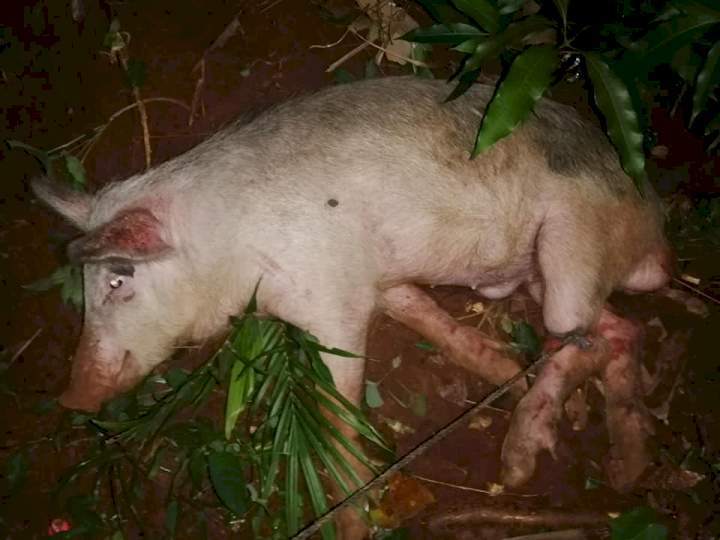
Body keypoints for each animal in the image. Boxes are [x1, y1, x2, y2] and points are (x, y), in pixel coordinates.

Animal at [31, 77, 672, 540]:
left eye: (118, 280)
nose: (72, 397)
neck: (235, 256)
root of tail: (654, 230)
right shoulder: (376, 280)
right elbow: (423, 312)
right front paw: (500, 369)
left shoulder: (334, 299)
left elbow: (338, 406)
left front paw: (350, 524)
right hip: (539, 276)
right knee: (619, 329)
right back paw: (623, 465)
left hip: (572, 244)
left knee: (579, 330)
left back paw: (522, 463)